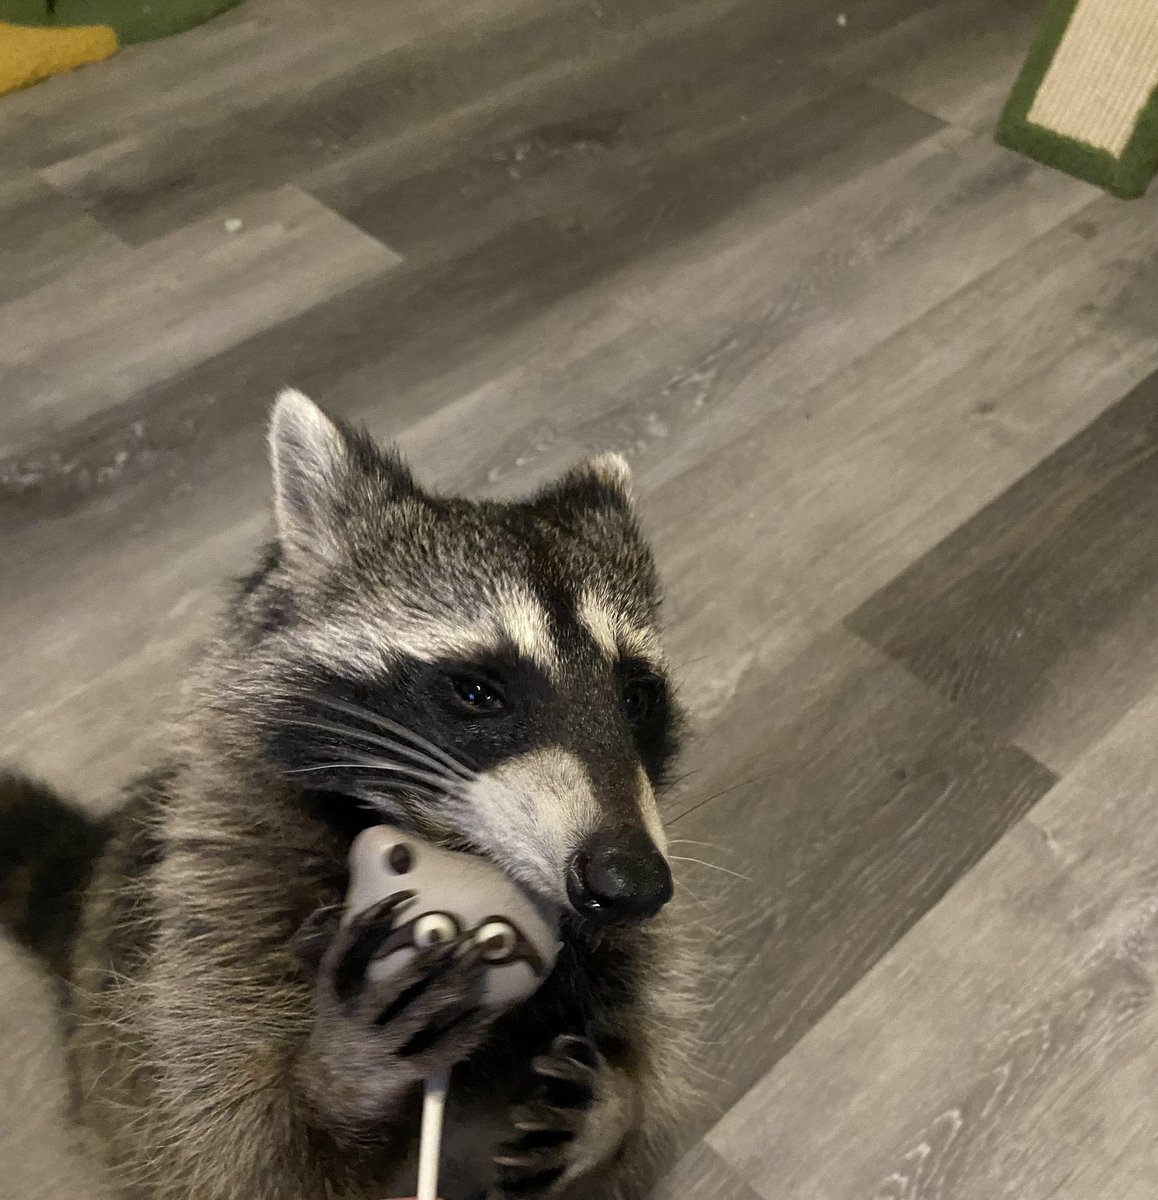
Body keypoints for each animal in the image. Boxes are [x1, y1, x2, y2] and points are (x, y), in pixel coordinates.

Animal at [0, 389, 697, 1200]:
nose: (631, 882)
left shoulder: (628, 952)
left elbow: (644, 1083)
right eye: (477, 692)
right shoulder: (207, 927)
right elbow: (242, 1152)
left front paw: (617, 1109)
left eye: (635, 697)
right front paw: (343, 1076)